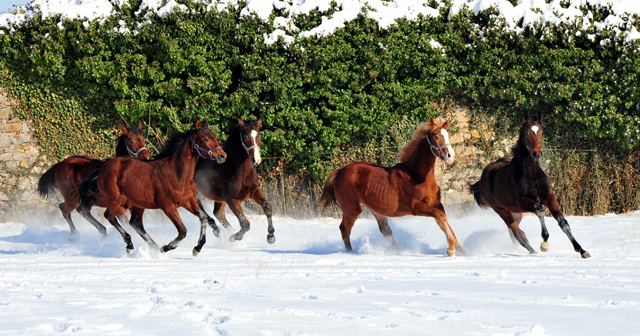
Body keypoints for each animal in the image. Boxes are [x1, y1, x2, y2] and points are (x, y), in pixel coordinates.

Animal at [79, 120, 226, 255]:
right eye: (206, 138)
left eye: (215, 137)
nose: (222, 156)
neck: (176, 172)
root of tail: (104, 167)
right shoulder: (168, 206)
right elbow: (182, 230)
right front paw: (166, 247)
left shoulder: (187, 201)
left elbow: (204, 218)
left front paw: (197, 247)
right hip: (115, 200)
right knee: (109, 216)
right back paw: (131, 246)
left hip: (138, 204)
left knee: (135, 223)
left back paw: (153, 247)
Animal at [320, 117, 464, 256]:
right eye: (436, 137)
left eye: (448, 135)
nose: (450, 156)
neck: (417, 175)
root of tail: (339, 171)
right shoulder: (415, 207)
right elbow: (440, 216)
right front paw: (451, 250)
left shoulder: (436, 204)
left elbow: (444, 221)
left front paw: (462, 251)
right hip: (352, 208)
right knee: (345, 229)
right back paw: (350, 253)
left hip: (376, 210)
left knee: (385, 231)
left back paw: (398, 252)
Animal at [468, 112, 592, 258]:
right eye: (527, 131)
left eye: (541, 130)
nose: (536, 153)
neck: (532, 175)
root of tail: (482, 180)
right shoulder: (524, 202)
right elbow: (540, 211)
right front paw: (544, 244)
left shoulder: (549, 197)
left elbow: (563, 223)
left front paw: (582, 251)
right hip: (502, 211)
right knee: (518, 234)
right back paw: (534, 252)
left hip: (516, 213)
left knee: (514, 233)